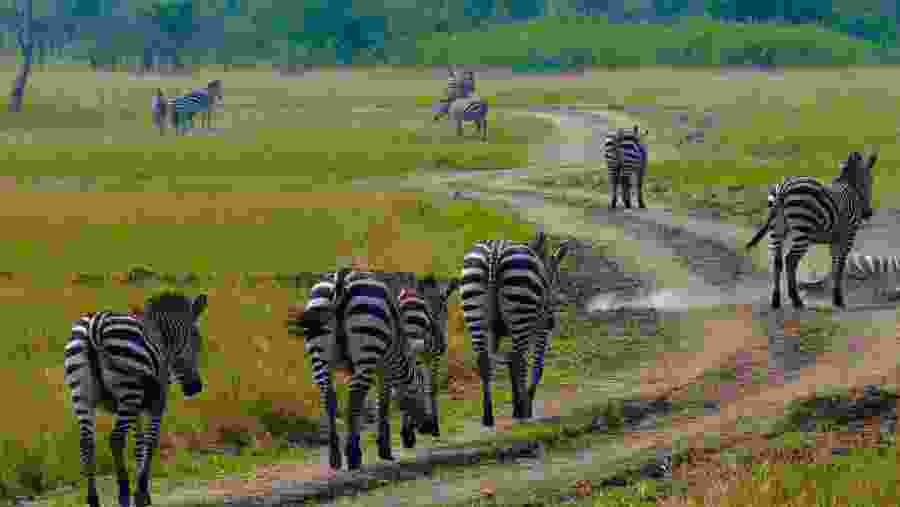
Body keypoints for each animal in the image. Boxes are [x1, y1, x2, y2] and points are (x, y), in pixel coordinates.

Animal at [64, 291, 208, 507]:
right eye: (197, 340)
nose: (195, 388)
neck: (163, 341)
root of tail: (94, 326)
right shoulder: (157, 402)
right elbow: (151, 442)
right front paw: (140, 493)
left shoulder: (138, 408)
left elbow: (139, 444)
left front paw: (142, 493)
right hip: (129, 391)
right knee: (116, 439)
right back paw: (123, 495)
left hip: (82, 394)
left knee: (87, 442)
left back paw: (94, 499)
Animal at [291, 268, 436, 470]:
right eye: (421, 389)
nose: (429, 427)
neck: (398, 353)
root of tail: (341, 280)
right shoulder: (384, 365)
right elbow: (382, 403)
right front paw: (384, 449)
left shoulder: (360, 368)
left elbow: (368, 404)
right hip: (367, 344)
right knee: (354, 397)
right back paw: (353, 456)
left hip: (320, 354)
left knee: (330, 397)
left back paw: (335, 456)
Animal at [390, 274, 461, 447]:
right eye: (443, 307)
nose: (442, 343)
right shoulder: (431, 356)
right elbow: (430, 388)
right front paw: (433, 425)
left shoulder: (423, 355)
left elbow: (421, 385)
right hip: (414, 345)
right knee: (407, 385)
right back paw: (410, 432)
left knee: (401, 386)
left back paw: (407, 434)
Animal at [460, 232, 574, 427]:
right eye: (555, 281)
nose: (552, 322)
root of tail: (495, 251)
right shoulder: (539, 328)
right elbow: (536, 366)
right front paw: (525, 404)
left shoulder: (497, 332)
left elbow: (508, 362)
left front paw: (518, 403)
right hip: (522, 309)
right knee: (517, 360)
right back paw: (521, 410)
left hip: (475, 310)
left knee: (485, 361)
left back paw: (488, 417)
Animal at [746, 150, 877, 309]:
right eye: (869, 182)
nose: (868, 214)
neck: (850, 186)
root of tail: (784, 187)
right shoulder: (848, 236)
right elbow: (840, 267)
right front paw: (839, 300)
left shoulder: (835, 239)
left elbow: (834, 265)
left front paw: (835, 297)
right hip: (803, 230)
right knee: (790, 260)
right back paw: (796, 300)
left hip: (776, 229)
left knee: (777, 262)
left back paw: (776, 300)